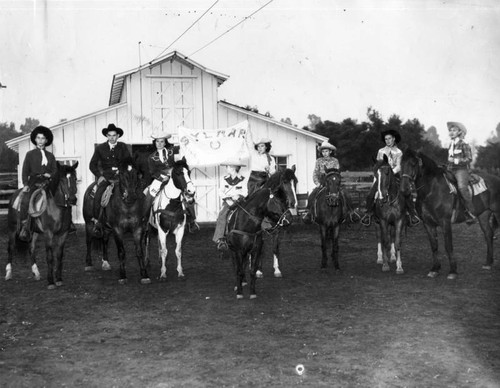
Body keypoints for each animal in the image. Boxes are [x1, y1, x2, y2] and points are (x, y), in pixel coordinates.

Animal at [5, 162, 79, 290]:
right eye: (63, 179)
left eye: (74, 178)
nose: (72, 200)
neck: (56, 207)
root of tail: (15, 194)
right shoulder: (48, 234)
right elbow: (49, 257)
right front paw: (50, 282)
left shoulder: (63, 234)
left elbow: (59, 255)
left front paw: (59, 279)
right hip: (12, 229)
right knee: (11, 248)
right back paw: (8, 273)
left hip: (34, 232)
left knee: (31, 248)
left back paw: (36, 273)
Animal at [227, 167, 296, 300]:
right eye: (285, 182)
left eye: (295, 182)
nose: (293, 203)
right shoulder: (240, 249)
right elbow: (241, 268)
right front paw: (240, 290)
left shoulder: (267, 238)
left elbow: (273, 250)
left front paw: (275, 271)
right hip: (233, 250)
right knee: (236, 265)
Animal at [400, 149, 500, 278]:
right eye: (401, 163)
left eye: (413, 163)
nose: (404, 189)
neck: (431, 190)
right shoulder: (428, 223)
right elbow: (434, 246)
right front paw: (435, 269)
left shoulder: (445, 222)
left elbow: (448, 246)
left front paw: (453, 271)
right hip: (483, 215)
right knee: (488, 234)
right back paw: (488, 263)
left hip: (497, 213)